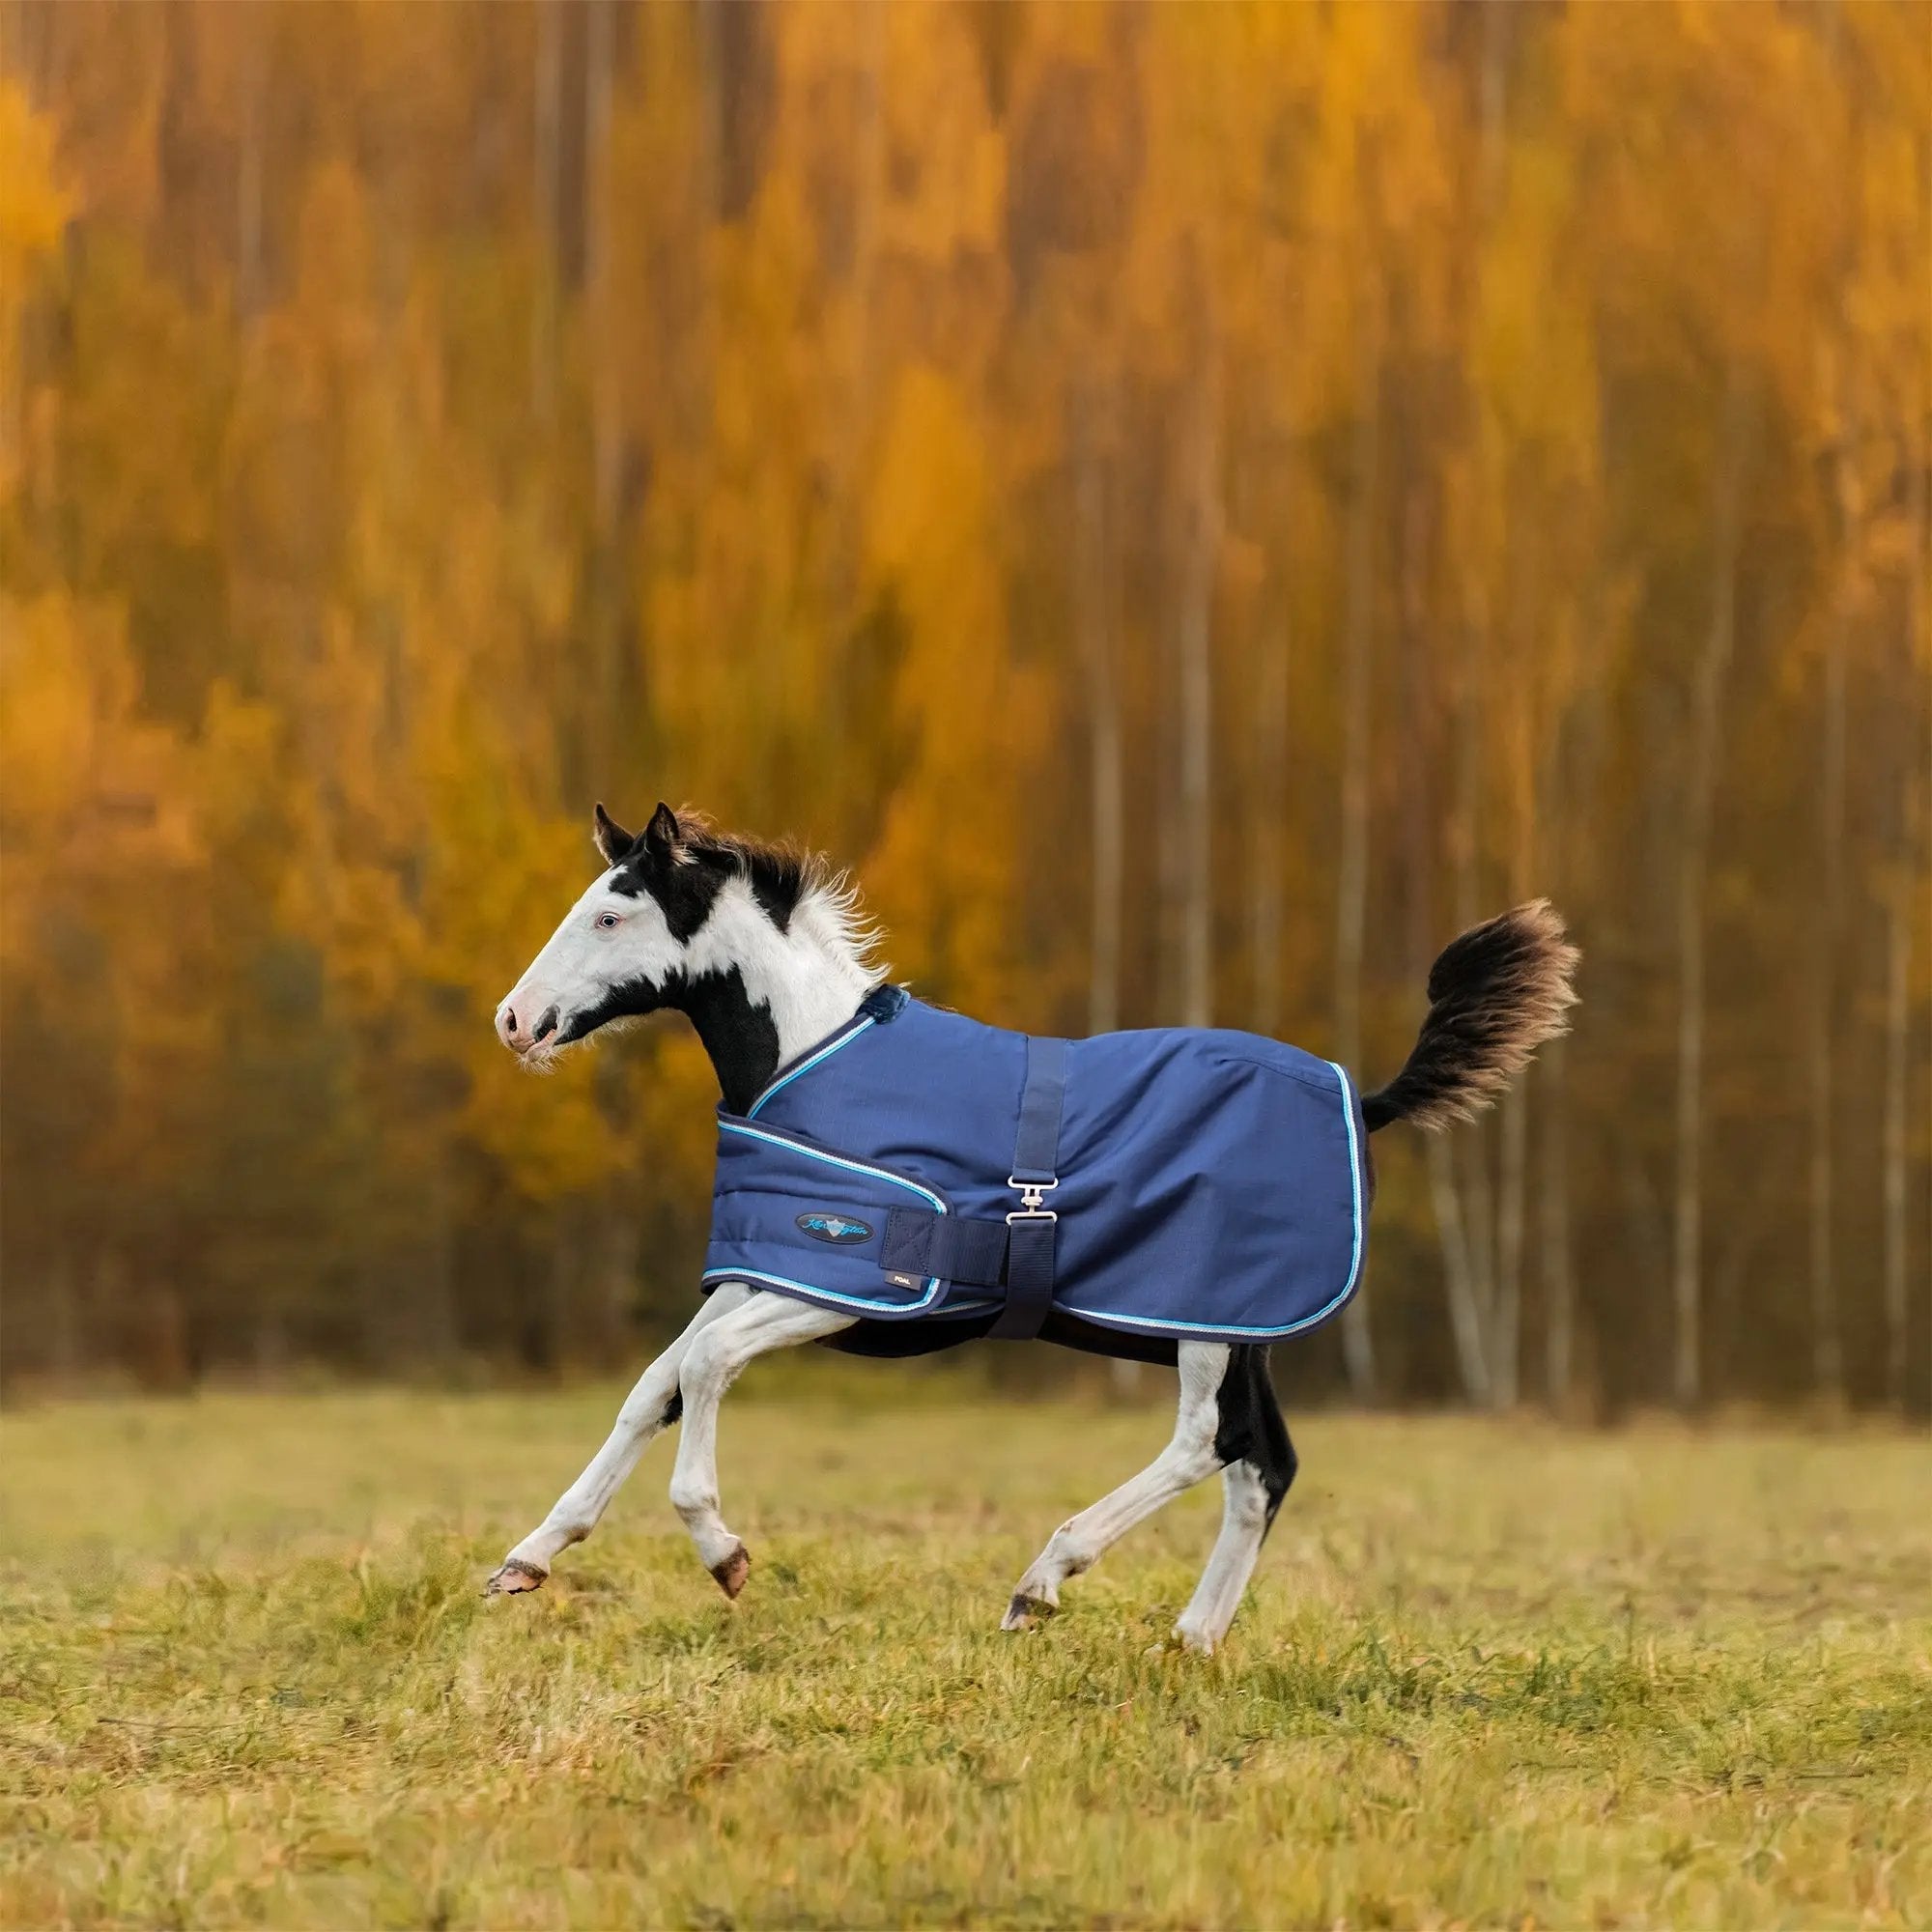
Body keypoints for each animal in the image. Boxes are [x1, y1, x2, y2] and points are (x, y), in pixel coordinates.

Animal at [485, 801, 1577, 1653]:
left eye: (611, 912)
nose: (514, 1020)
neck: (812, 1060)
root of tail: (1366, 1103)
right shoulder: (766, 1272)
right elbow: (657, 1384)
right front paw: (528, 1558)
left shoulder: (852, 1289)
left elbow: (705, 1370)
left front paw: (724, 1554)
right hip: (1240, 1332)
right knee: (1262, 1465)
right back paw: (1190, 1640)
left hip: (1204, 1324)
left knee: (1204, 1443)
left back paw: (1043, 1579)